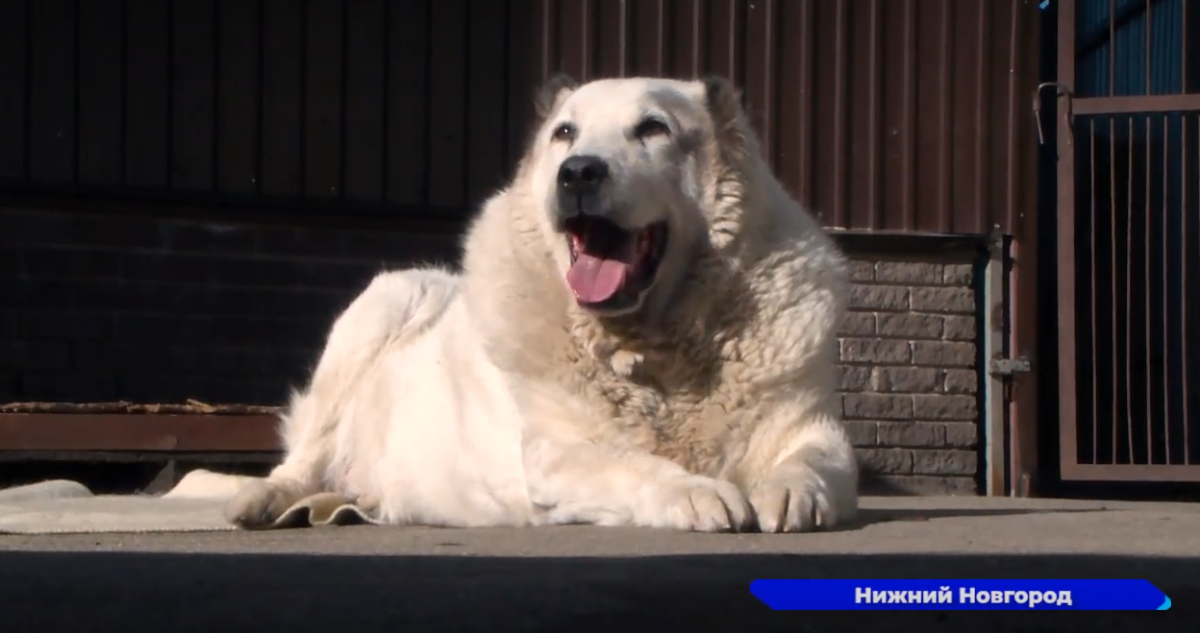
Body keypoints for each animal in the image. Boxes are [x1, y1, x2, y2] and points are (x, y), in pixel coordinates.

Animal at [225, 74, 859, 532]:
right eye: (564, 133)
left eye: (653, 128)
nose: (578, 172)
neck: (651, 347)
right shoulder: (558, 456)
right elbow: (632, 464)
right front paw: (697, 492)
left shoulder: (813, 429)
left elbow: (815, 460)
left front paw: (789, 492)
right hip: (393, 296)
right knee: (305, 456)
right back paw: (265, 499)